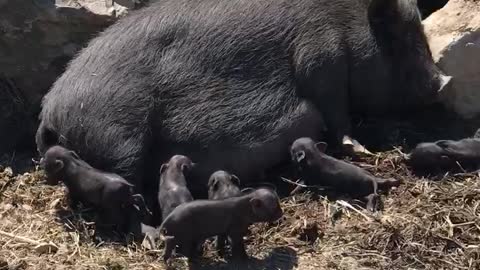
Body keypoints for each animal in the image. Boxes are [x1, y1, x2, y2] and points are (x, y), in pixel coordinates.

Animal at [36, 0, 450, 224]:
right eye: (397, 35)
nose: (440, 83)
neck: (345, 20)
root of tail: (49, 111)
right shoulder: (320, 56)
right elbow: (336, 113)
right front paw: (357, 147)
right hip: (117, 135)